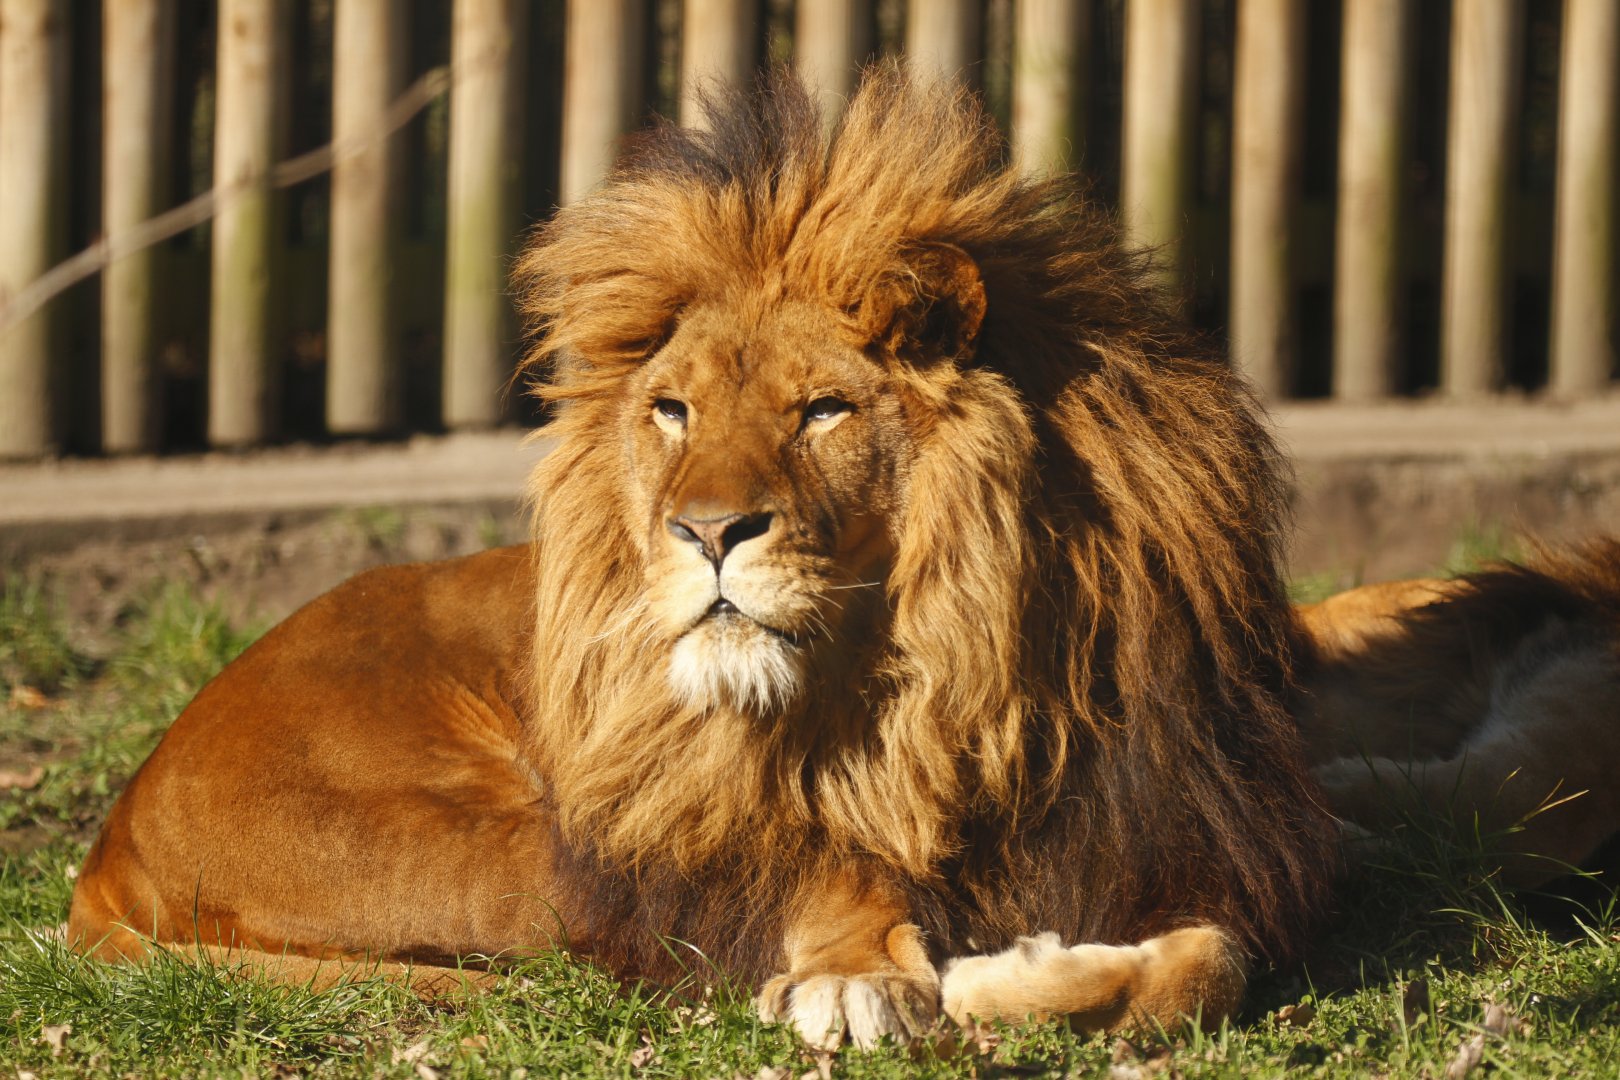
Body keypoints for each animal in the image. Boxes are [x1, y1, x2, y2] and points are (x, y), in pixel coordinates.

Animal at [69, 67, 1339, 1047]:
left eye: (824, 411)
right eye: (673, 412)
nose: (708, 532)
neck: (963, 682)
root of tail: (112, 835)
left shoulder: (1185, 838)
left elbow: (1207, 969)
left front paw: (1021, 971)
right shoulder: (689, 829)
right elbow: (818, 877)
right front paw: (866, 976)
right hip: (521, 849)